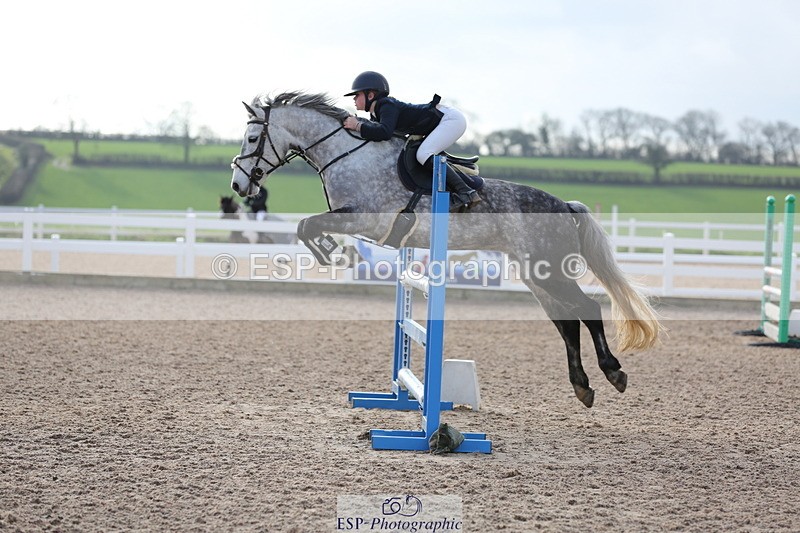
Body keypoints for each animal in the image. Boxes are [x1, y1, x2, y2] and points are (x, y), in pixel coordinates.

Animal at [230, 91, 662, 408]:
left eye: (252, 139)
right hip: (537, 274)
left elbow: (308, 224)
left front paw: (327, 251)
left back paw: (613, 372)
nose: (238, 185)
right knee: (567, 322)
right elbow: (307, 224)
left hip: (550, 269)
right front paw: (328, 250)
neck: (348, 154)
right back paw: (583, 387)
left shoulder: (364, 220)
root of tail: (564, 205)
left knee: (586, 309)